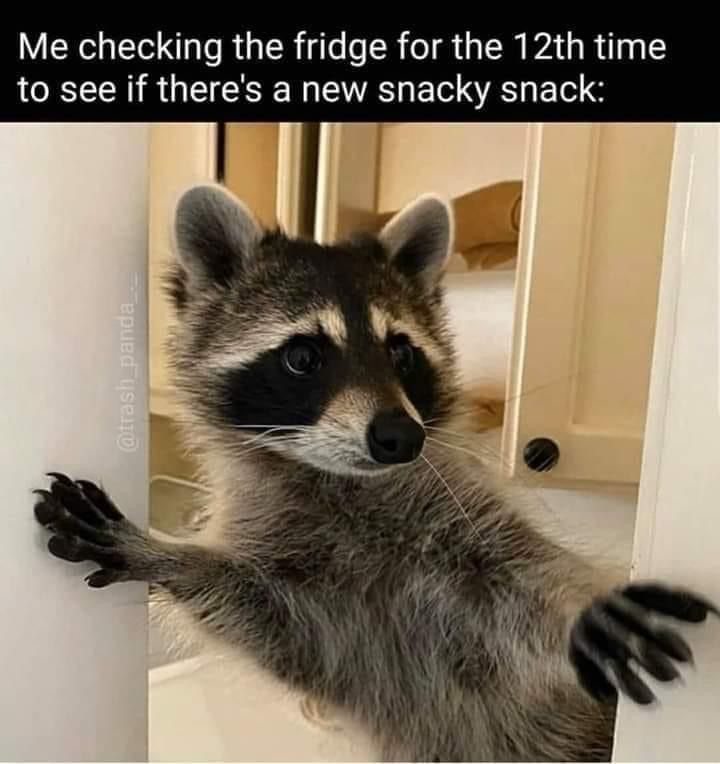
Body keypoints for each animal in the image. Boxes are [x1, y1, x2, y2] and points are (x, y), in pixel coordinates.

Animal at [34, 184, 717, 762]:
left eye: (402, 353)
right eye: (302, 357)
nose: (401, 437)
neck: (342, 485)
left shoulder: (466, 517)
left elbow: (530, 575)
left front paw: (579, 611)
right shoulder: (321, 617)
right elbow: (277, 625)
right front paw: (168, 556)